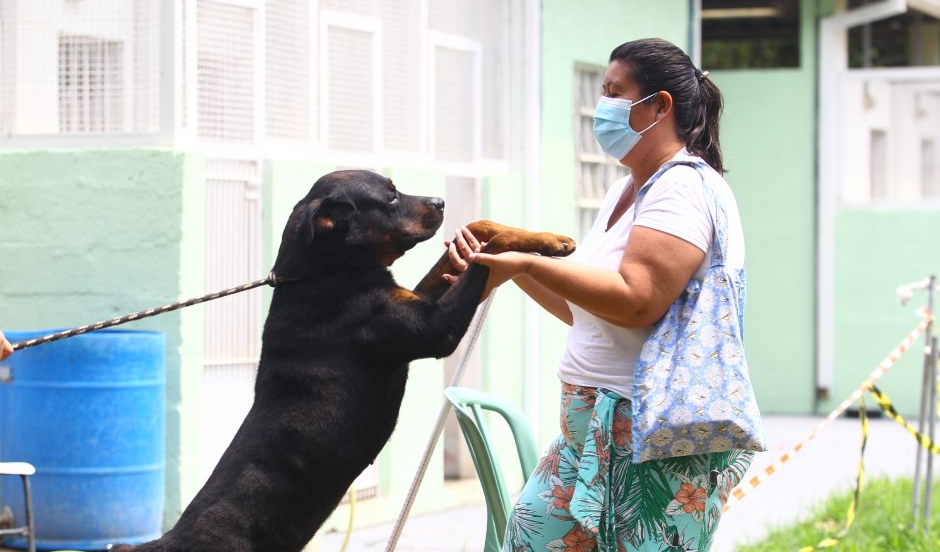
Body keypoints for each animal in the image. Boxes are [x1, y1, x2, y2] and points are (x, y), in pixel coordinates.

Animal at [114, 169, 576, 552]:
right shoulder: (434, 329)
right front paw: (534, 244)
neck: (323, 273)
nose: (440, 201)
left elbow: (476, 237)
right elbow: (490, 254)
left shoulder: (412, 296)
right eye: (390, 197)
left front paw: (546, 237)